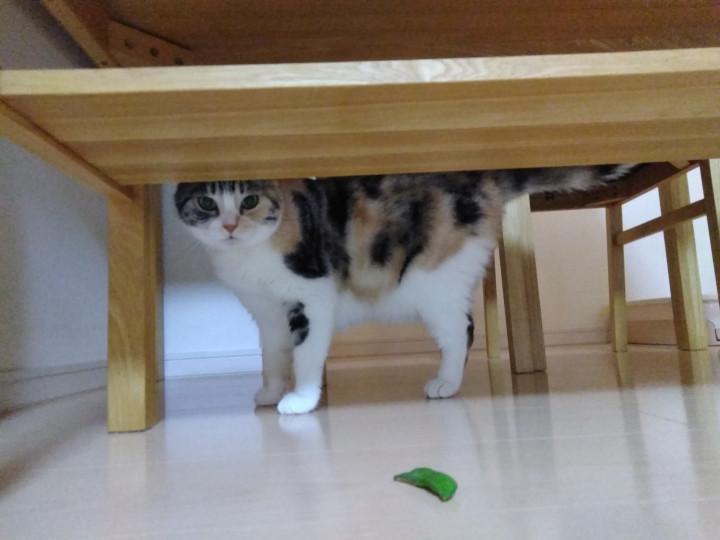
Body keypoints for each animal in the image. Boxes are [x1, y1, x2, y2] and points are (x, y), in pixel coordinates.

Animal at [175, 165, 634, 414]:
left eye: (249, 201)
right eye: (207, 204)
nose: (230, 226)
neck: (250, 255)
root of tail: (480, 177)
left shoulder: (313, 297)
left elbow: (305, 356)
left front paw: (301, 400)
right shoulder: (266, 314)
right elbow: (271, 357)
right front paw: (271, 392)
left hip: (432, 279)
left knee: (460, 330)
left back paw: (445, 384)